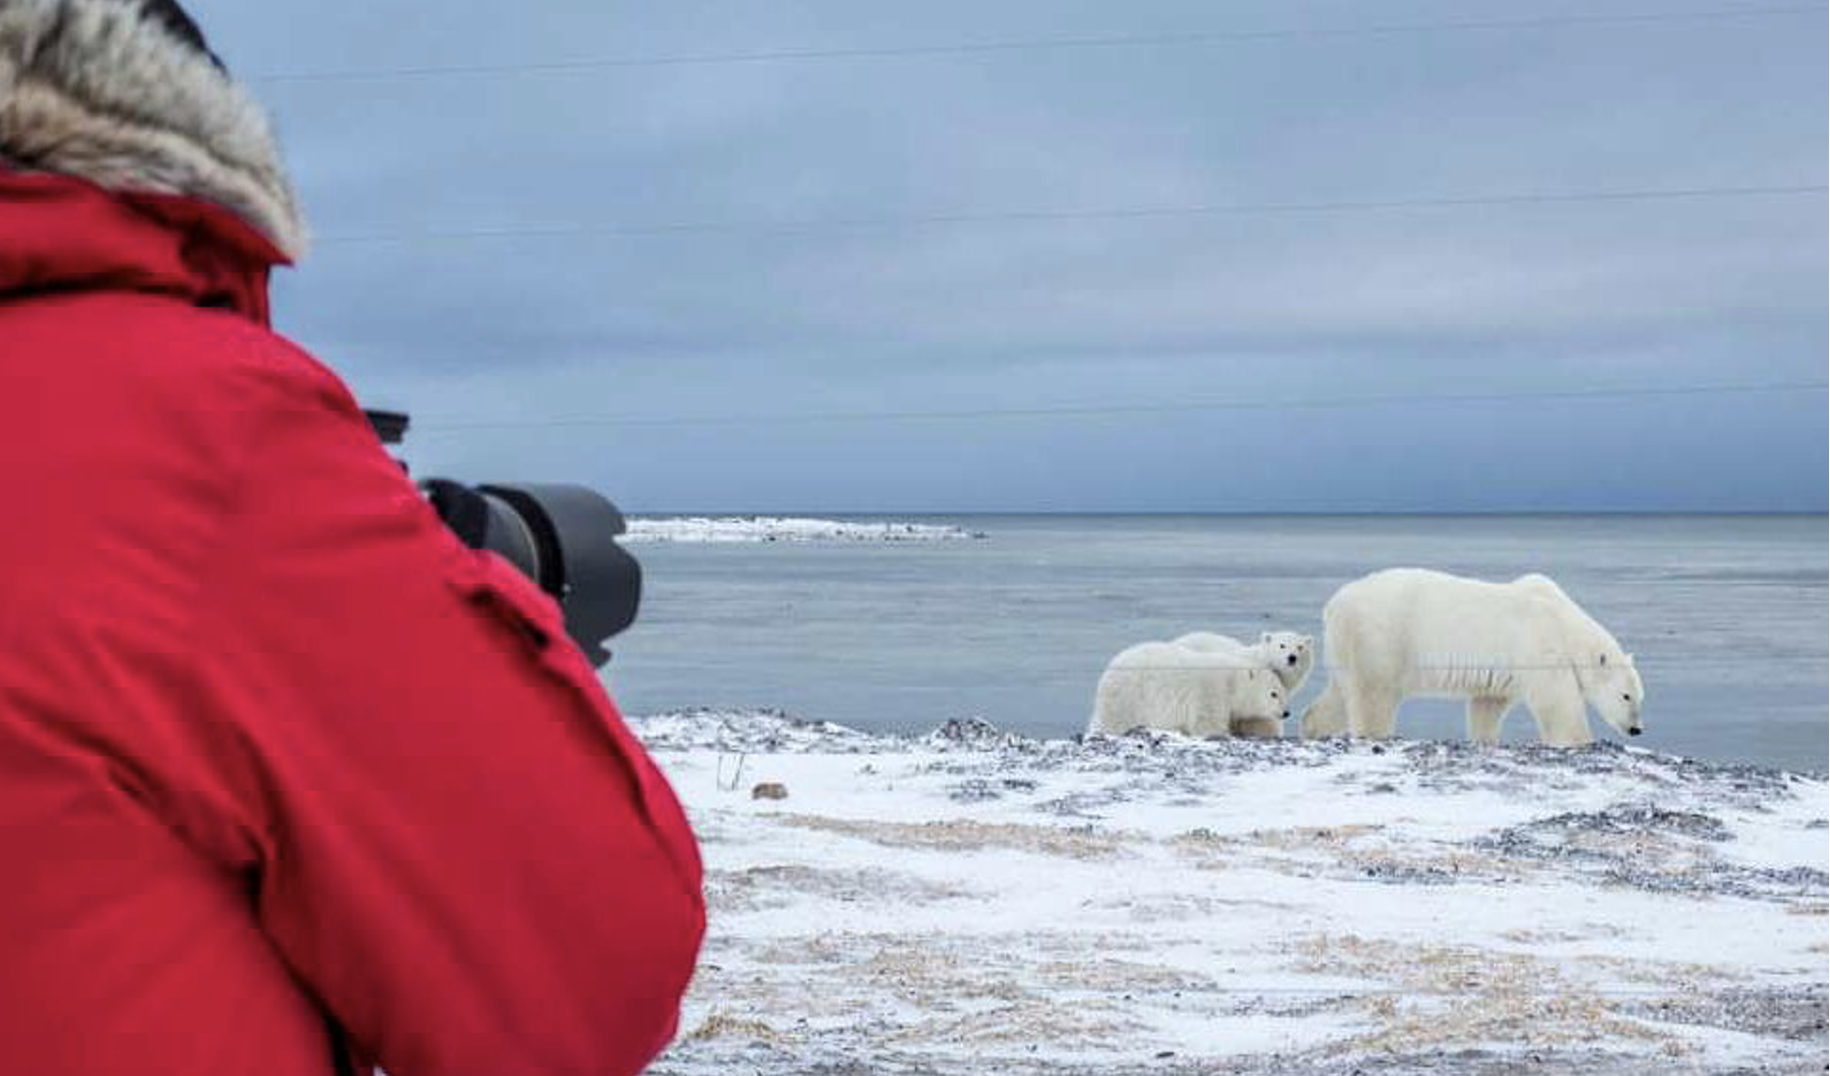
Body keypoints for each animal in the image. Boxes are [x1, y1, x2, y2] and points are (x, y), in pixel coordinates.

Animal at [1083, 640, 1288, 739]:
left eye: (1282, 692)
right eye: (1273, 694)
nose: (1286, 713)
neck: (1232, 681)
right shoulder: (1210, 692)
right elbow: (1207, 724)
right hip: (1129, 697)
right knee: (1116, 721)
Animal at [1295, 567, 1654, 742]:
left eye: (1640, 697)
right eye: (1625, 696)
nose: (1637, 729)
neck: (1564, 621)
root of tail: (1334, 605)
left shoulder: (1506, 669)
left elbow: (1488, 704)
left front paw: (1484, 738)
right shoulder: (1539, 646)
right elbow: (1557, 702)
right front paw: (1578, 740)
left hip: (1346, 646)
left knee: (1341, 693)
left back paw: (1314, 727)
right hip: (1380, 636)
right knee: (1375, 694)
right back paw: (1375, 733)